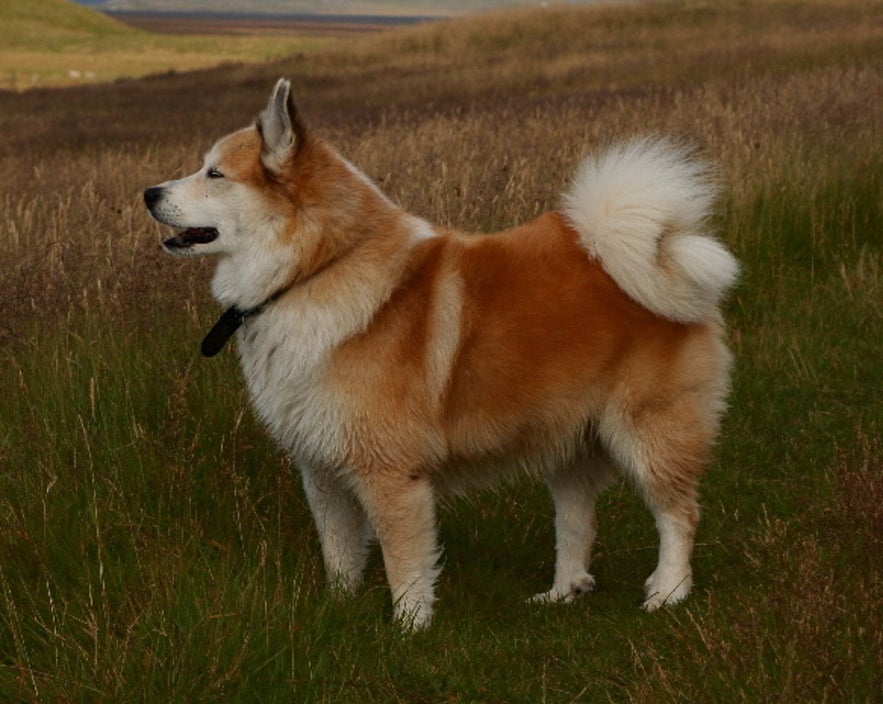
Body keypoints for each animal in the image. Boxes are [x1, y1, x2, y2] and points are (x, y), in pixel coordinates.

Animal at [145, 77, 740, 628]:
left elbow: (404, 563)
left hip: (649, 431)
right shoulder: (323, 469)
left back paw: (669, 591)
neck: (318, 268)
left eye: (215, 174)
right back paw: (561, 592)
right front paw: (339, 608)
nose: (149, 193)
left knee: (679, 513)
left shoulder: (390, 473)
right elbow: (339, 551)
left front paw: (409, 629)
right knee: (576, 523)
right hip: (568, 441)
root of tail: (663, 246)